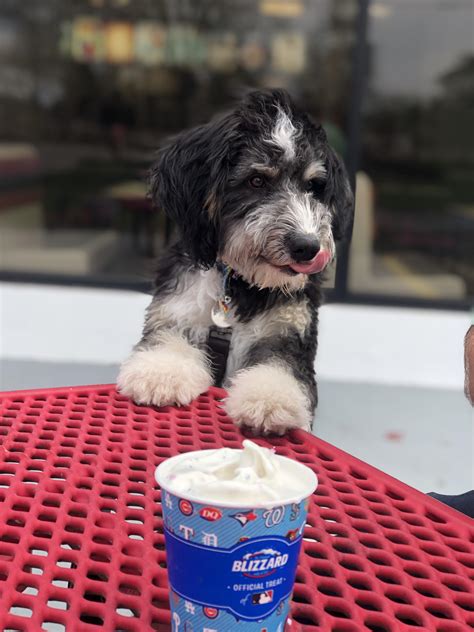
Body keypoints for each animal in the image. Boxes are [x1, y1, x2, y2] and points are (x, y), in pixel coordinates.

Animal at [118, 89, 352, 434]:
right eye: (256, 181)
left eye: (313, 186)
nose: (307, 247)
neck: (240, 282)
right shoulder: (176, 312)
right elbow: (165, 343)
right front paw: (160, 376)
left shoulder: (288, 334)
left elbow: (280, 368)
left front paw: (270, 402)